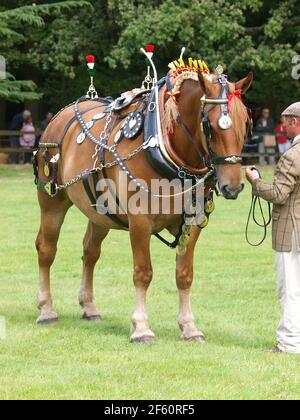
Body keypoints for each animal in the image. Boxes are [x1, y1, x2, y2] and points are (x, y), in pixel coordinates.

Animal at [33, 57, 253, 342]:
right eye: (209, 125)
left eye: (246, 123)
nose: (233, 186)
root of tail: (60, 116)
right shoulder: (139, 221)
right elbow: (143, 273)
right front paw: (141, 327)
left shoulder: (192, 223)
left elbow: (184, 275)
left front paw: (189, 326)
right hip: (52, 200)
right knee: (46, 249)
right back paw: (46, 309)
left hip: (99, 211)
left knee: (90, 253)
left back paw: (89, 306)